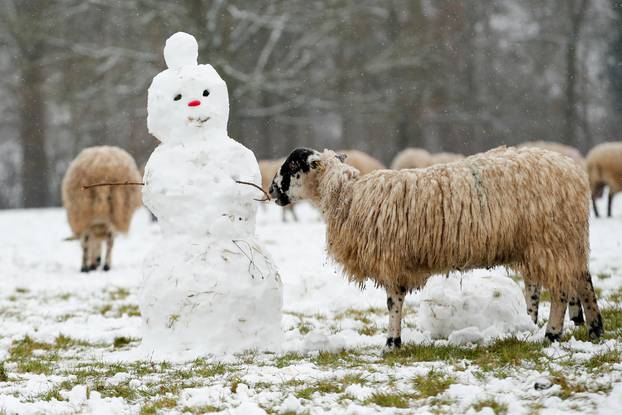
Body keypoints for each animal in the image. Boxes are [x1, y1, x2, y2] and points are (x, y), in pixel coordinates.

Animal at [272, 146, 604, 348]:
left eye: (291, 165)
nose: (272, 189)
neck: (348, 196)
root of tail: (573, 172)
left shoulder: (392, 259)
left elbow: (393, 303)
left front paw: (392, 342)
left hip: (551, 239)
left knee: (561, 290)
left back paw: (552, 334)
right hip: (564, 240)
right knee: (582, 280)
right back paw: (594, 328)